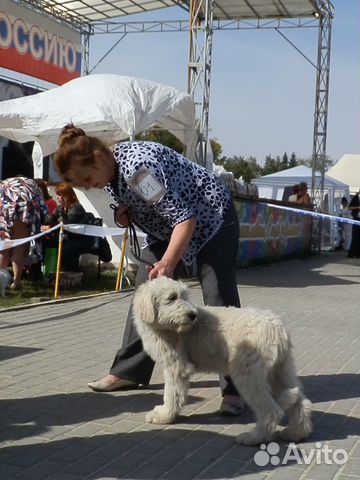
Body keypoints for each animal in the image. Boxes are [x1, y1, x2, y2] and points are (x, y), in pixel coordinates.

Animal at [133, 278, 312, 446]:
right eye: (172, 298)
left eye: (183, 296)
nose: (193, 315)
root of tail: (278, 330)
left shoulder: (176, 367)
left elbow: (171, 394)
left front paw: (164, 415)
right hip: (281, 371)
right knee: (300, 401)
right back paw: (296, 433)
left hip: (248, 375)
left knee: (271, 411)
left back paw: (254, 438)